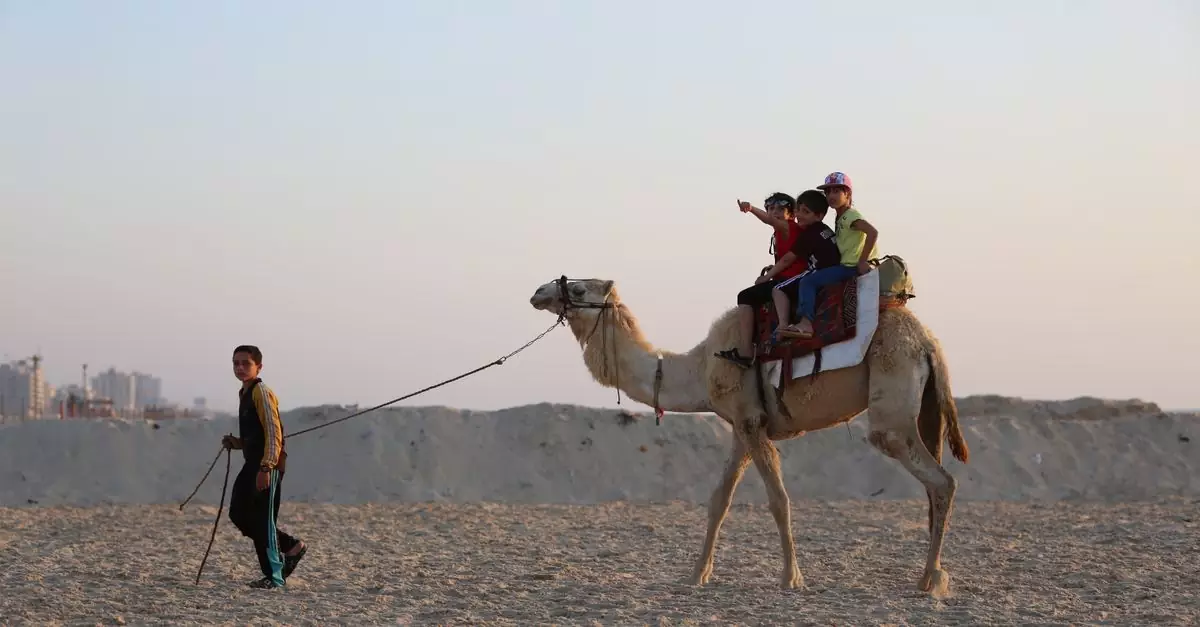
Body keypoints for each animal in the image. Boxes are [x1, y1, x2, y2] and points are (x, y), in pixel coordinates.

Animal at [529, 276, 970, 597]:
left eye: (579, 289)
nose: (538, 292)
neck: (699, 365)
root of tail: (928, 342)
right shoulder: (741, 426)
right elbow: (719, 501)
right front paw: (696, 575)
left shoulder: (751, 421)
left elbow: (778, 500)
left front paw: (791, 578)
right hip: (922, 403)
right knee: (934, 480)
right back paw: (933, 573)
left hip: (892, 394)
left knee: (939, 479)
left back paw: (930, 579)